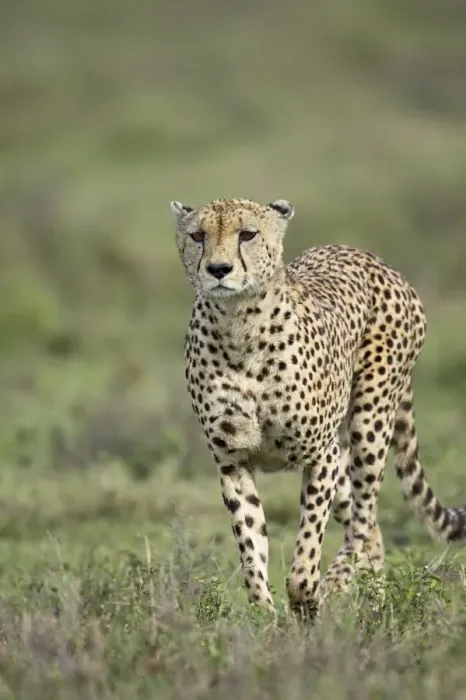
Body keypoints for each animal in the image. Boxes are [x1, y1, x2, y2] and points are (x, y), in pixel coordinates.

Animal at [170, 196, 466, 617]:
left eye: (247, 234)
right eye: (198, 235)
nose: (218, 269)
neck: (238, 323)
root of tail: (366, 254)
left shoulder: (318, 455)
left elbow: (307, 546)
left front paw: (307, 596)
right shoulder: (232, 462)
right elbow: (250, 544)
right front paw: (265, 615)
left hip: (368, 423)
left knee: (363, 520)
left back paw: (339, 584)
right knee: (372, 532)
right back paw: (372, 601)